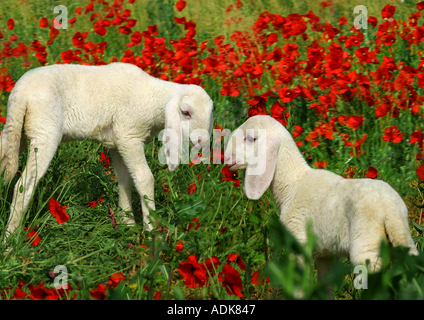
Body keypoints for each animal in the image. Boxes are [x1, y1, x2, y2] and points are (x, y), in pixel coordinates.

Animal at [0, 63, 212, 242]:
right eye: (186, 112)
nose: (202, 141)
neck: (151, 96)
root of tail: (21, 94)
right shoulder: (129, 135)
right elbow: (144, 178)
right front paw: (152, 230)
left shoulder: (117, 142)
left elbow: (125, 179)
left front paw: (127, 222)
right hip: (45, 131)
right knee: (23, 186)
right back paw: (11, 241)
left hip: (15, 130)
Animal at [224, 115, 420, 278]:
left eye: (251, 138)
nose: (226, 158)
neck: (292, 184)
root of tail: (390, 209)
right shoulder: (326, 254)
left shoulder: (298, 242)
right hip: (401, 239)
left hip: (366, 245)